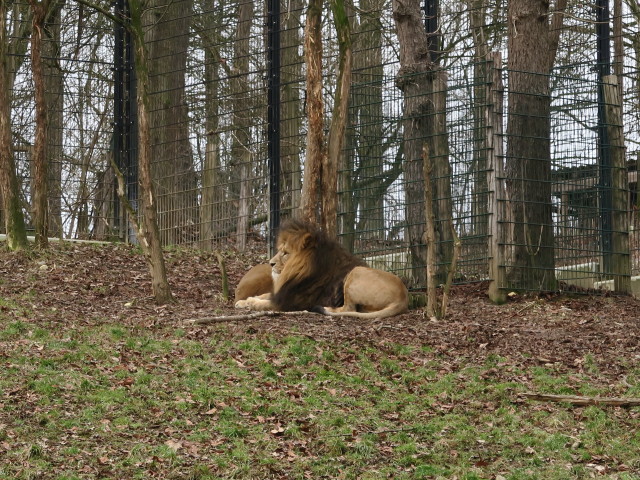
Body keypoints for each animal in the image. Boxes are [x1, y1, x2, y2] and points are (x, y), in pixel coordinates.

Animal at [234, 220, 408, 319]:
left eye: (285, 253)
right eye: (280, 250)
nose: (270, 263)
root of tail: (403, 297)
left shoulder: (289, 303)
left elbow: (263, 303)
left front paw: (252, 303)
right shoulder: (283, 293)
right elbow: (263, 295)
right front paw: (243, 301)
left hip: (356, 272)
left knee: (348, 308)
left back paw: (323, 308)